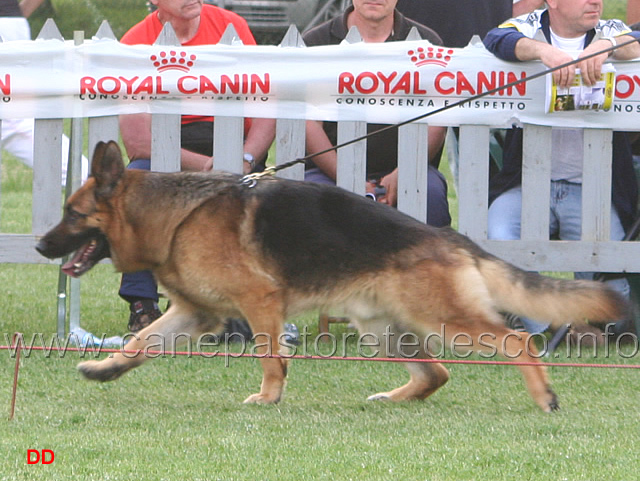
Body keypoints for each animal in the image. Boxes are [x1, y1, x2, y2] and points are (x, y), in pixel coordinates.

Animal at [35, 140, 624, 412]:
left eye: (71, 213)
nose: (40, 245)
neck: (175, 214)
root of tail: (454, 239)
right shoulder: (194, 313)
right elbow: (141, 343)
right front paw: (106, 369)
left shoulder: (260, 303)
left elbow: (272, 357)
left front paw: (269, 398)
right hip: (385, 329)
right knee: (436, 374)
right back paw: (393, 399)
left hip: (445, 319)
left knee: (519, 341)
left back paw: (544, 397)